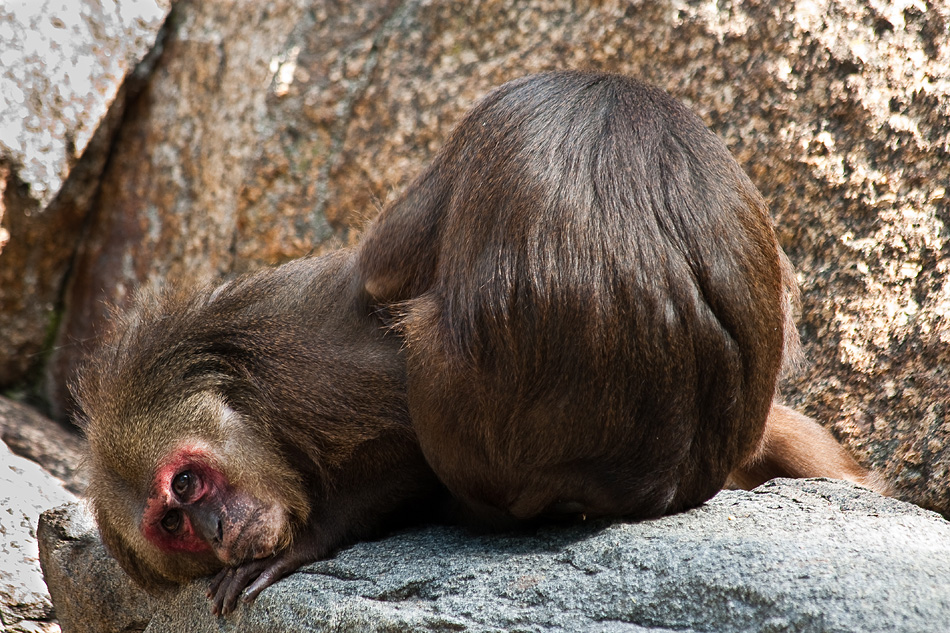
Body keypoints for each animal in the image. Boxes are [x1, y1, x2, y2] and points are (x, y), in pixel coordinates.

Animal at [76, 71, 892, 616]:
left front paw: (311, 541)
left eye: (185, 485)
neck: (273, 420)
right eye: (174, 527)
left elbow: (403, 437)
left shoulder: (318, 373)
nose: (215, 528)